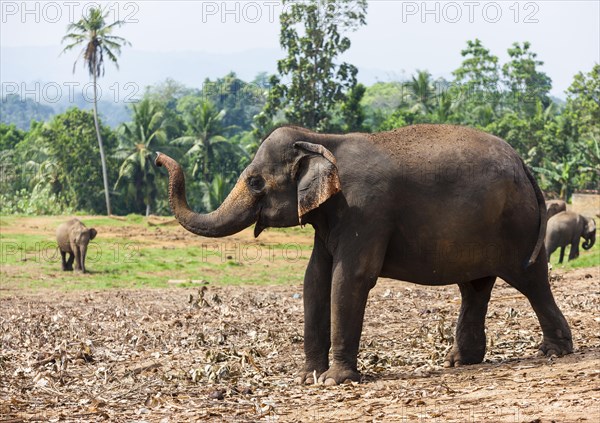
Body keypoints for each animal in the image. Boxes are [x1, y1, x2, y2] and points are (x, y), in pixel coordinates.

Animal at [155, 124, 572, 386]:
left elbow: (350, 278)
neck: (322, 139)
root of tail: (523, 164)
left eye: (256, 182)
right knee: (475, 287)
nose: (158, 157)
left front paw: (336, 381)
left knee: (530, 279)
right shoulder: (330, 218)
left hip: (517, 225)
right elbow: (314, 279)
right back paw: (459, 361)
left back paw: (554, 352)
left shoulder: (367, 209)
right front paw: (308, 379)